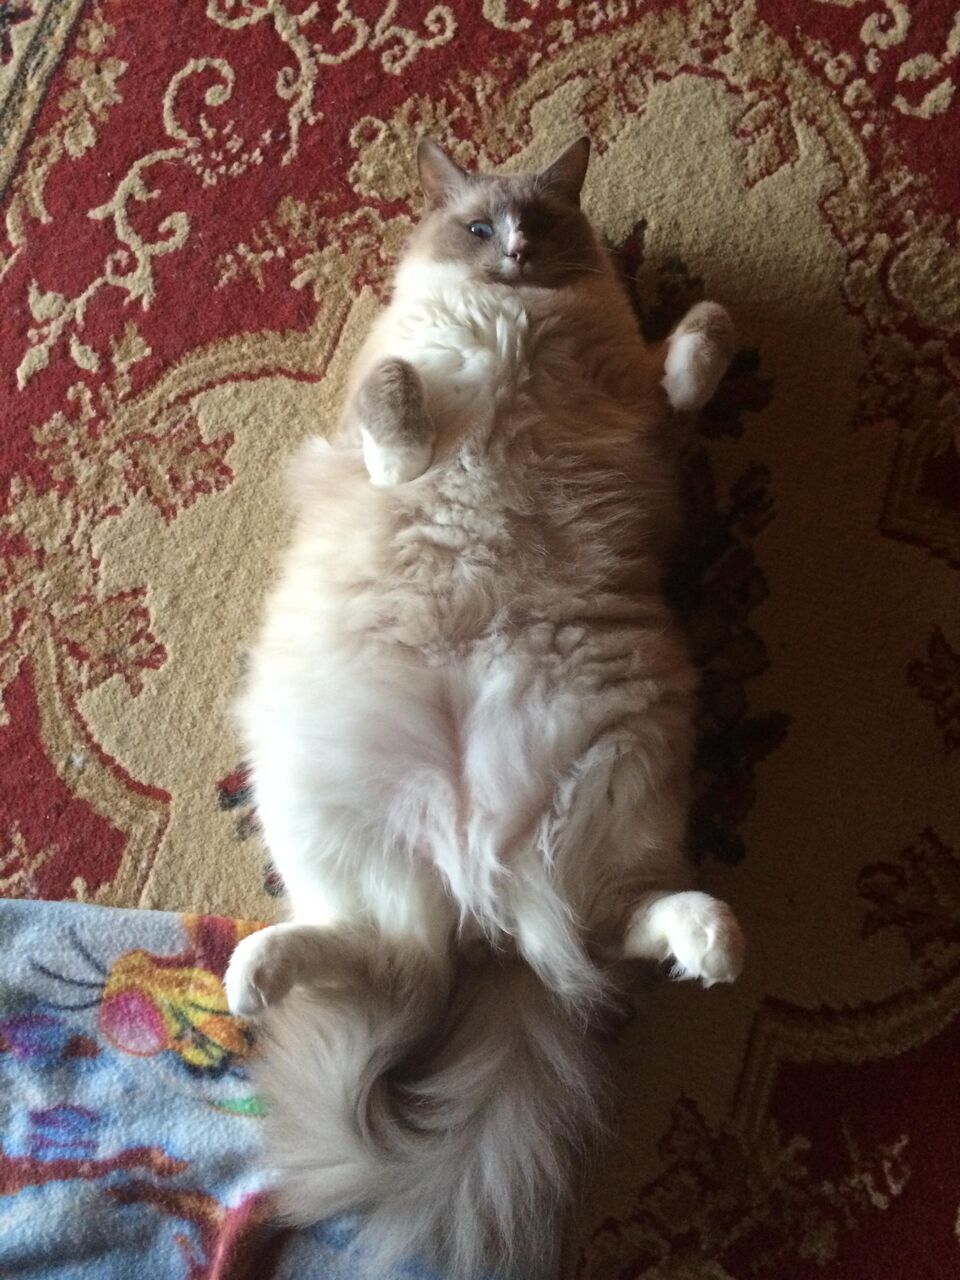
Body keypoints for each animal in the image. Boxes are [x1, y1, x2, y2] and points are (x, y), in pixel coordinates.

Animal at [225, 135, 744, 1280]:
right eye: (477, 227)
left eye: (537, 225)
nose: (509, 252)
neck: (519, 322)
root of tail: (481, 883)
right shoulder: (398, 416)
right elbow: (393, 399)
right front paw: (406, 398)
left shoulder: (644, 410)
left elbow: (687, 362)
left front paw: (707, 324)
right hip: (318, 807)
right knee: (399, 956)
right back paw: (253, 975)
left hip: (622, 768)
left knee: (595, 940)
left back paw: (714, 942)